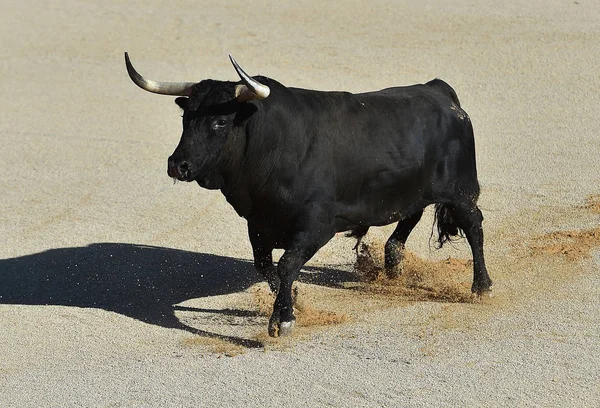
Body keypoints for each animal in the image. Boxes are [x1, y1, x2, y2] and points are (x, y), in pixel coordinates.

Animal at [125, 52, 492, 336]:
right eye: (186, 118)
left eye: (219, 121)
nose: (178, 165)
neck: (273, 145)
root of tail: (438, 91)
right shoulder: (258, 223)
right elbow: (265, 266)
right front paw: (295, 303)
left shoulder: (316, 225)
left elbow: (286, 264)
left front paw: (282, 320)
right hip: (411, 189)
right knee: (410, 215)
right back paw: (392, 264)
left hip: (461, 191)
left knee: (473, 225)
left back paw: (481, 287)